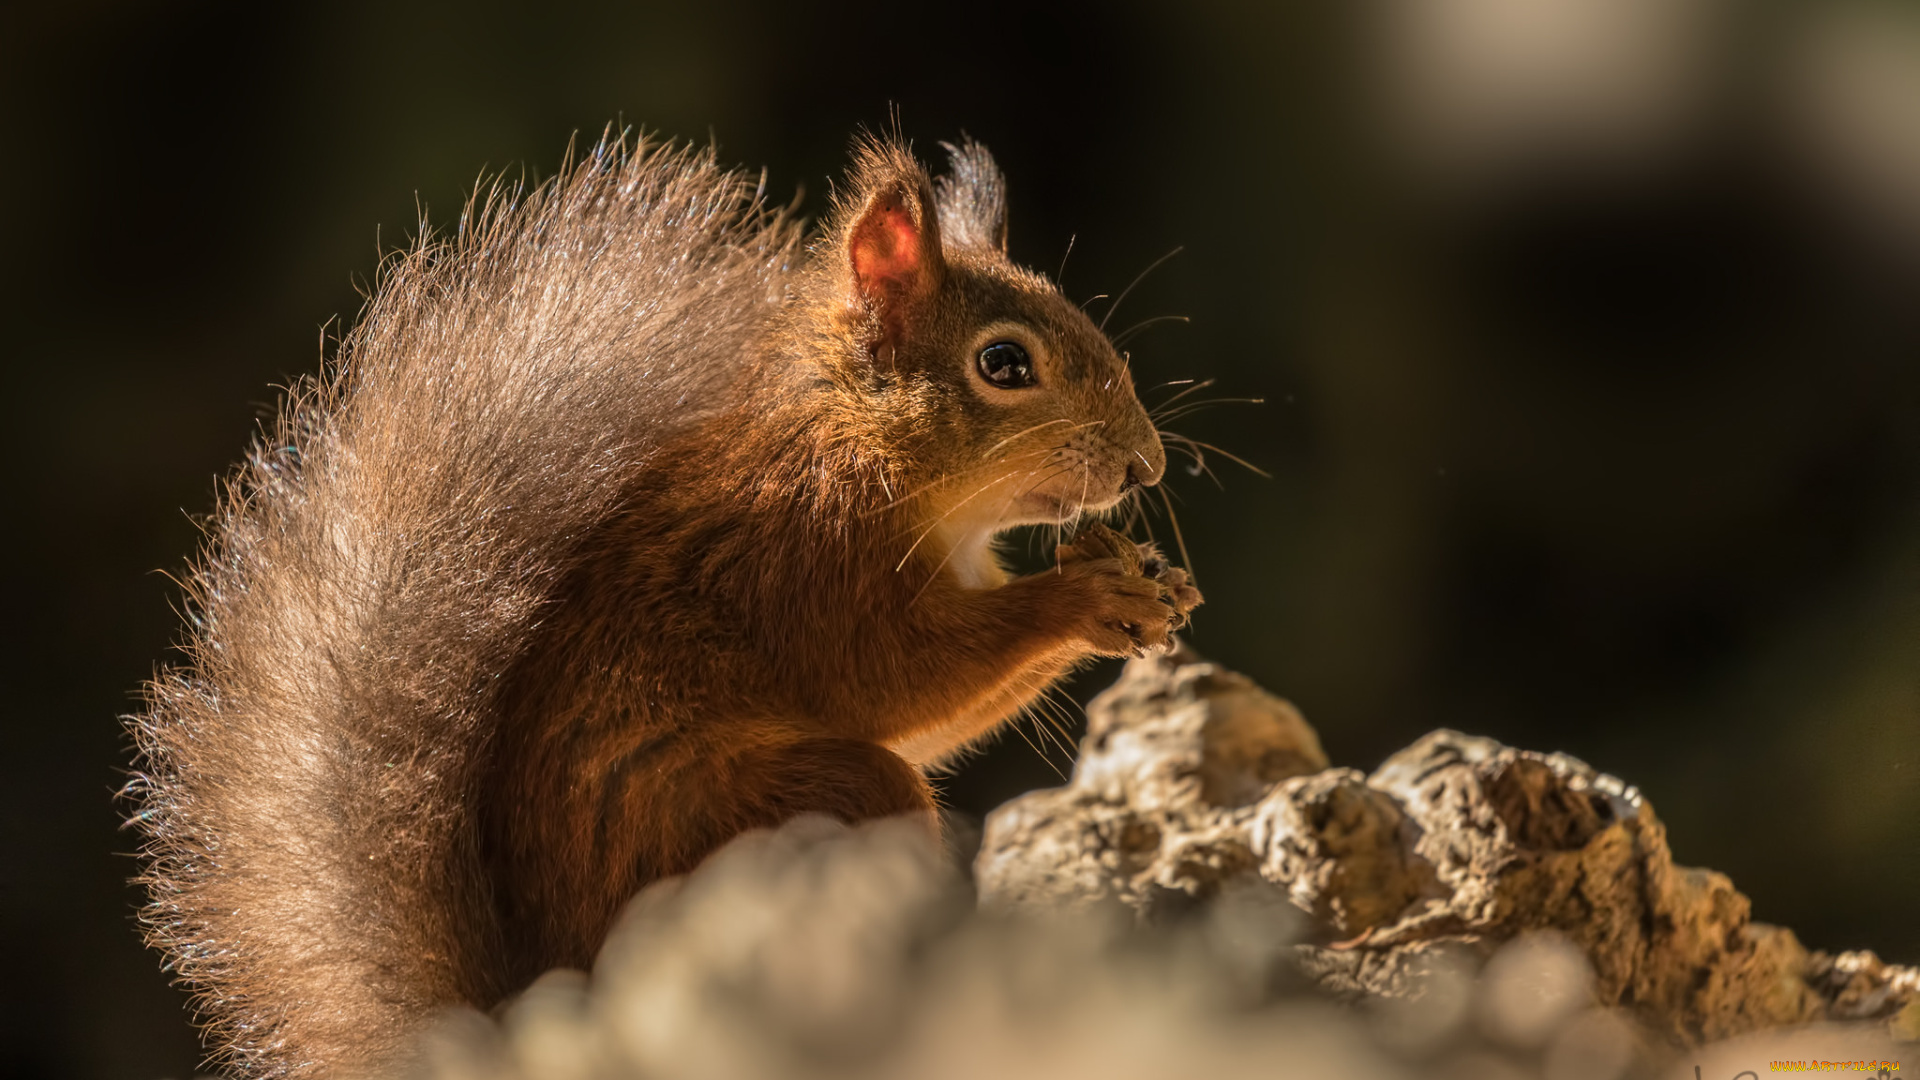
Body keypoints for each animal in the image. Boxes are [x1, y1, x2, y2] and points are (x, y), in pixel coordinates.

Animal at [127, 134, 1198, 1076]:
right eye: (1005, 364)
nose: (1147, 463)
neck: (872, 446)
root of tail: (547, 989)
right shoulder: (806, 555)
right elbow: (894, 679)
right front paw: (1086, 595)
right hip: (772, 811)